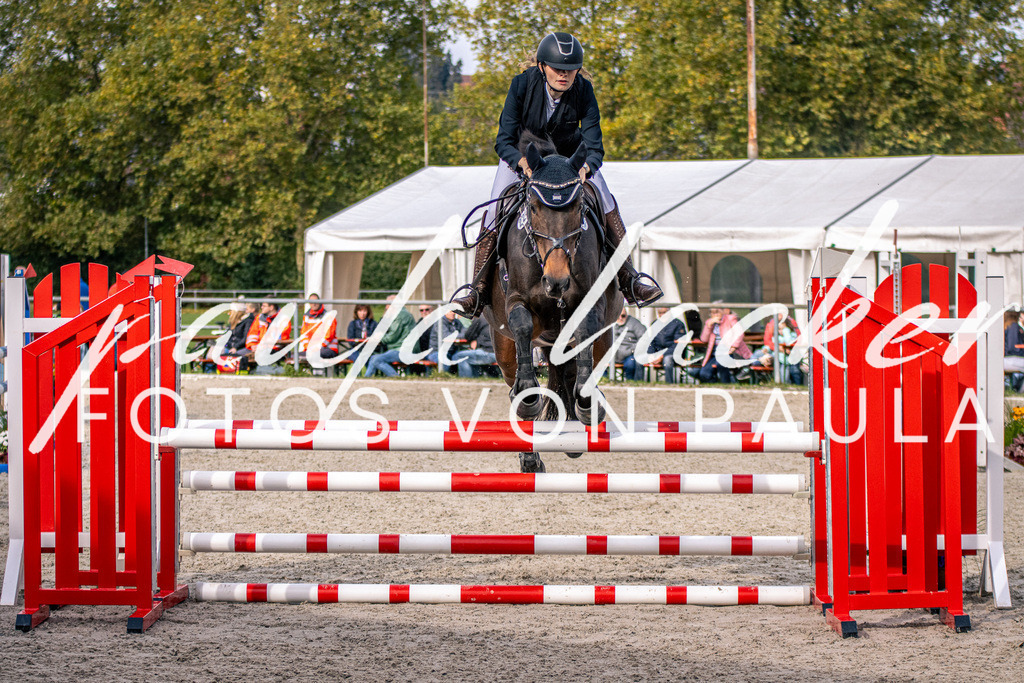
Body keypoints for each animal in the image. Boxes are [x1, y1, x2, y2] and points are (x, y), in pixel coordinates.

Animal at [483, 135, 623, 473]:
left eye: (578, 207)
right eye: (533, 208)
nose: (557, 282)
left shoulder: (590, 302)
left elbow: (584, 333)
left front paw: (585, 403)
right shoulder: (517, 301)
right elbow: (522, 325)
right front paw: (528, 397)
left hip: (600, 340)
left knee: (579, 366)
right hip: (503, 346)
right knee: (513, 382)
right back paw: (529, 456)